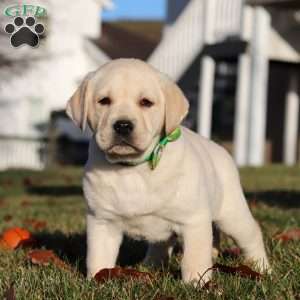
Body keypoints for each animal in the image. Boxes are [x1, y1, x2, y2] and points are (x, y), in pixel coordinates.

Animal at [65, 58, 270, 284]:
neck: (133, 168)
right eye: (104, 101)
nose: (123, 125)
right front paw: (97, 280)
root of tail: (220, 149)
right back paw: (151, 265)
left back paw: (262, 267)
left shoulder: (194, 219)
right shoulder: (101, 220)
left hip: (231, 214)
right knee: (164, 245)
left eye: (146, 102)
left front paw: (197, 282)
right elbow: (98, 256)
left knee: (251, 234)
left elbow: (194, 256)